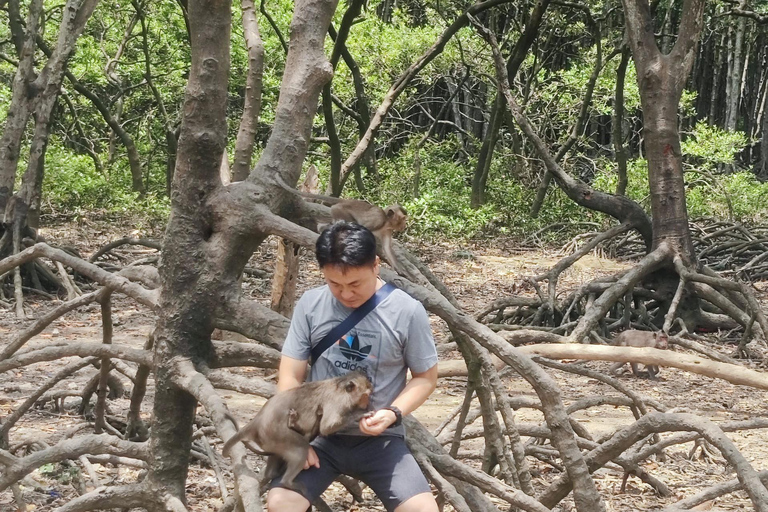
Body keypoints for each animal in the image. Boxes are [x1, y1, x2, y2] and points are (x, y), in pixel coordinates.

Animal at [220, 372, 374, 492]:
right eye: (365, 396)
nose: (367, 403)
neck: (340, 385)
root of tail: (256, 421)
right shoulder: (337, 402)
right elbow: (326, 427)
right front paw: (359, 415)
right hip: (277, 435)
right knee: (301, 448)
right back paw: (287, 482)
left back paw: (271, 473)